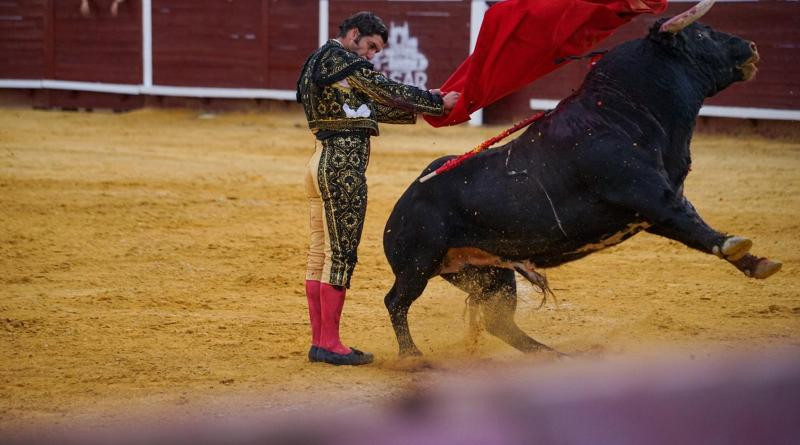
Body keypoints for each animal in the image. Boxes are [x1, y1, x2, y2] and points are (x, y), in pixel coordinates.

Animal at [382, 0, 780, 356]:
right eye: (702, 33)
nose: (751, 46)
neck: (622, 112)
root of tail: (403, 203)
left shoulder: (654, 207)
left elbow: (692, 225)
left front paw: (756, 263)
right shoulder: (647, 193)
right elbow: (691, 223)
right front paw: (737, 246)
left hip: (488, 272)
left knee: (498, 321)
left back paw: (552, 355)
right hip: (419, 264)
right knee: (396, 300)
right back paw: (412, 356)